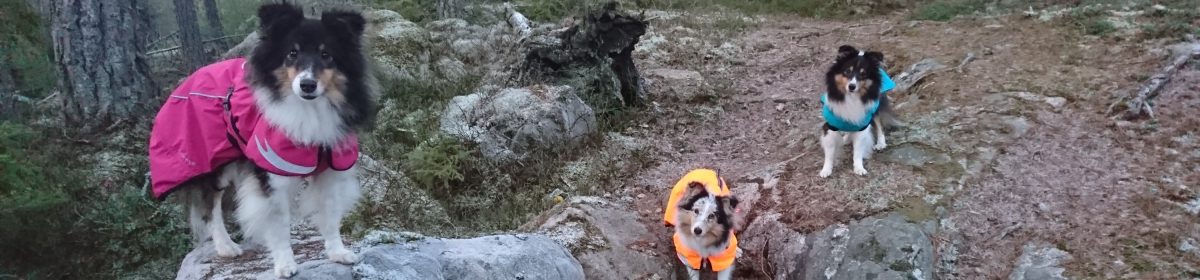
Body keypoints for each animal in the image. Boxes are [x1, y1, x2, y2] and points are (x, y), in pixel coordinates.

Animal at [816, 45, 892, 176]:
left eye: (863, 74)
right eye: (847, 71)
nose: (852, 86)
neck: (851, 97)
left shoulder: (862, 126)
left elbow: (858, 151)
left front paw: (859, 168)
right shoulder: (830, 126)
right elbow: (829, 152)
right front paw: (826, 170)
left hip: (875, 107)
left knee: (879, 125)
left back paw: (881, 143)